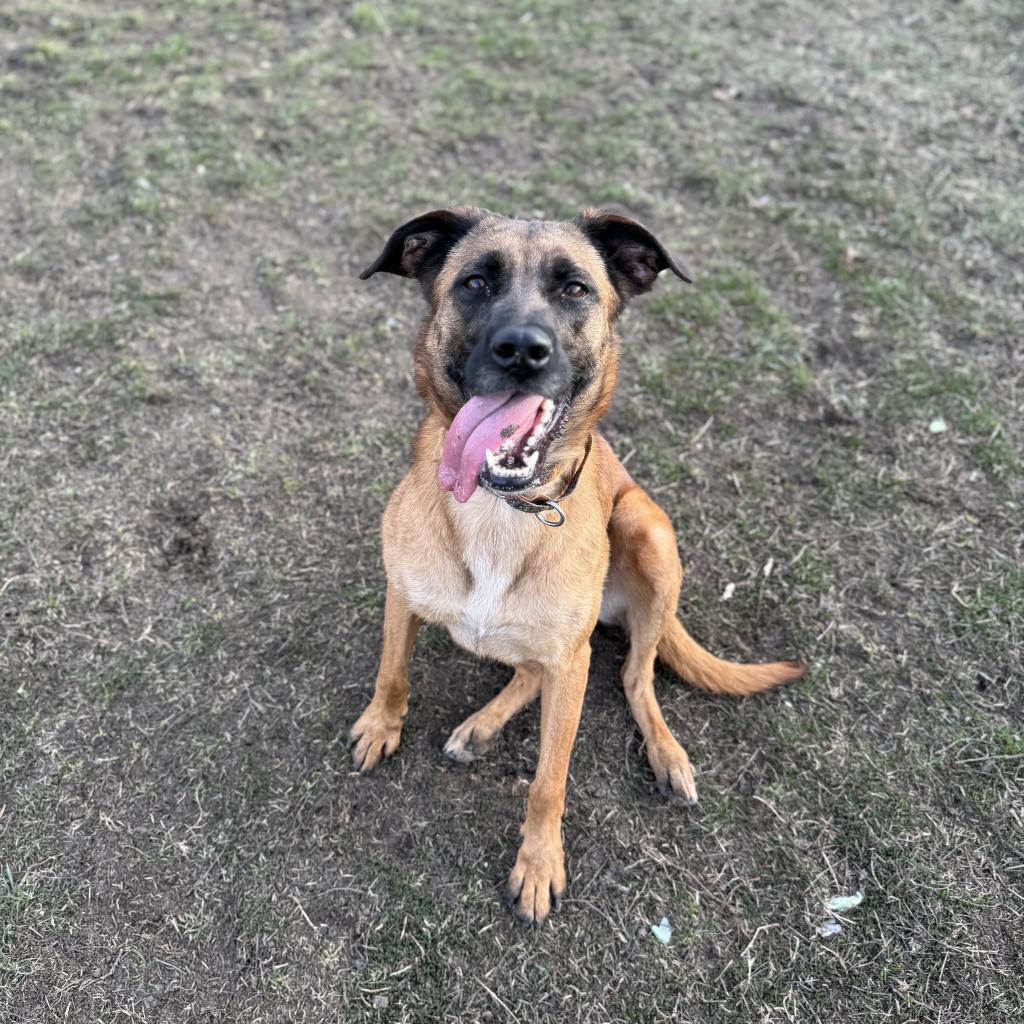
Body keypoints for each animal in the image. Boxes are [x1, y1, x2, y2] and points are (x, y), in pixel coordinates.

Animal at [352, 207, 806, 929]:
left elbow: (549, 780)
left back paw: (666, 753)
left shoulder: (570, 662)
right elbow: (392, 672)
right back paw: (481, 725)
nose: (521, 350)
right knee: (536, 670)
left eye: (575, 289)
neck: (502, 507)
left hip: (647, 533)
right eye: (475, 282)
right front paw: (379, 727)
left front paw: (539, 864)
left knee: (631, 673)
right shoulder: (402, 593)